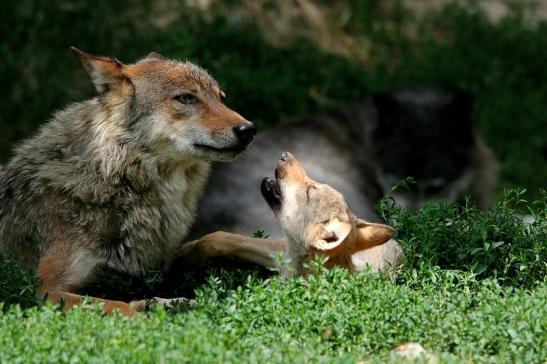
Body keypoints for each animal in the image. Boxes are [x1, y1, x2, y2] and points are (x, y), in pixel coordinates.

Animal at [0, 48, 256, 316]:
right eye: (187, 98)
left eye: (220, 98)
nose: (248, 129)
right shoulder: (45, 288)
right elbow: (120, 306)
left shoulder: (150, 272)